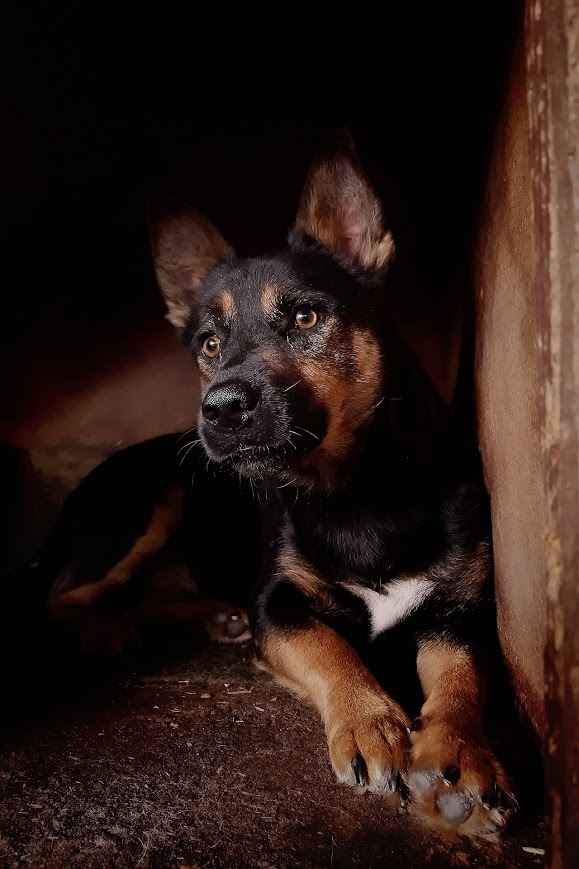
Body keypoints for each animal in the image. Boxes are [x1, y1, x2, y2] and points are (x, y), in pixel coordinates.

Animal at [44, 136, 516, 836]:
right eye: (209, 345)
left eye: (304, 316)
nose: (219, 409)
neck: (355, 493)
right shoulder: (279, 603)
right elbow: (330, 650)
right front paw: (371, 724)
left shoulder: (456, 613)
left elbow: (461, 682)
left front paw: (458, 756)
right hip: (155, 505)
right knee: (66, 598)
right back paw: (108, 629)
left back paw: (210, 616)